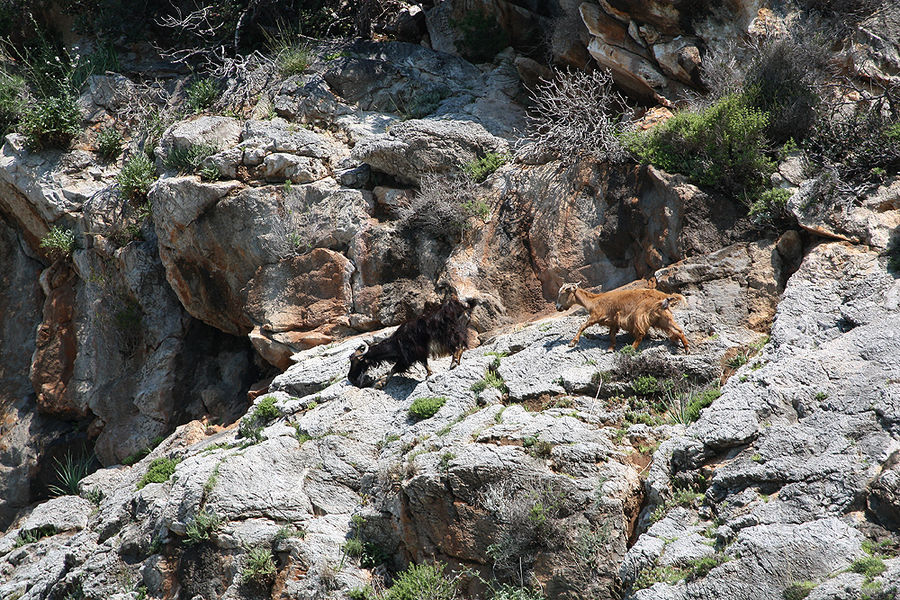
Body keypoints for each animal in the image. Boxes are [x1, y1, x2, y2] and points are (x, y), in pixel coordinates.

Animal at [348, 296, 478, 390]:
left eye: (356, 361)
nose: (350, 377)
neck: (397, 342)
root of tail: (464, 306)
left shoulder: (410, 355)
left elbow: (394, 369)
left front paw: (381, 383)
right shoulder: (415, 354)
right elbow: (423, 364)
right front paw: (429, 373)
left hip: (451, 333)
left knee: (458, 346)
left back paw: (454, 363)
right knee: (461, 346)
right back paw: (456, 362)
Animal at [556, 282, 688, 352]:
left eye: (562, 293)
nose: (557, 307)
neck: (594, 301)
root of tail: (664, 296)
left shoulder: (596, 315)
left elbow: (582, 326)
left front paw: (572, 343)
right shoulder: (614, 321)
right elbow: (611, 334)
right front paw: (611, 348)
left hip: (640, 314)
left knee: (641, 332)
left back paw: (631, 348)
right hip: (663, 317)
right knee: (678, 330)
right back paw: (687, 348)